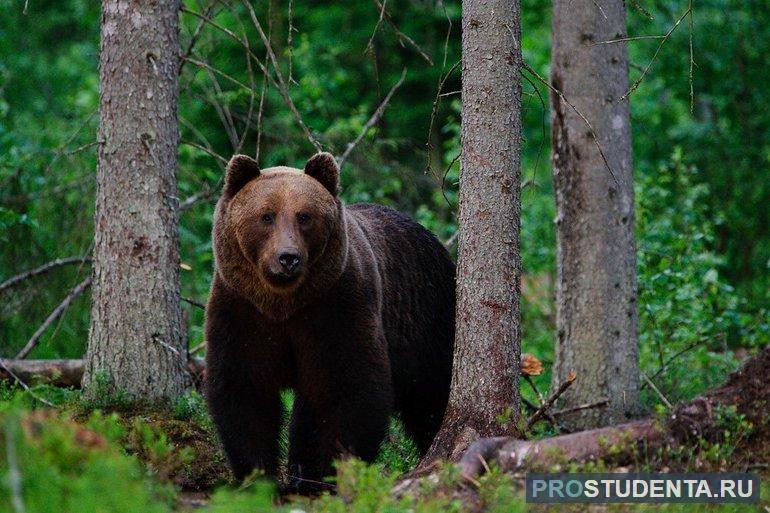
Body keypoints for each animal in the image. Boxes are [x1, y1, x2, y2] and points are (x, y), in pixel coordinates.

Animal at [206, 152, 456, 492]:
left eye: (304, 215)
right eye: (266, 216)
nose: (288, 257)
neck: (283, 304)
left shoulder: (336, 306)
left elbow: (344, 388)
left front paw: (324, 473)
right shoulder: (242, 310)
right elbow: (244, 387)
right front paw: (257, 474)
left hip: (427, 318)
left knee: (432, 394)